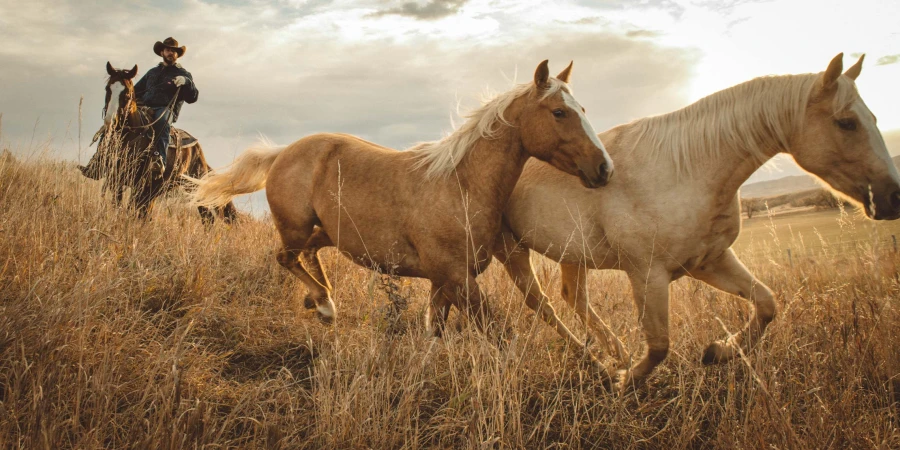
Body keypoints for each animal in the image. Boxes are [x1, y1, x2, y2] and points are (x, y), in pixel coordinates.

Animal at [79, 62, 237, 223]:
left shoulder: (138, 185)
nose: (110, 122)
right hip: (158, 188)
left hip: (191, 186)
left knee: (207, 217)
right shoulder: (115, 179)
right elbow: (117, 205)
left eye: (127, 94)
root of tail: (198, 150)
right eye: (108, 89)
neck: (129, 136)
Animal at [190, 60, 613, 341]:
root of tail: (282, 152)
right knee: (286, 257)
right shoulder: (456, 278)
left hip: (328, 232)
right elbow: (497, 333)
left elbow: (436, 332)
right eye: (558, 112)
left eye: (582, 110)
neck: (461, 185)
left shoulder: (446, 281)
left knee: (309, 253)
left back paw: (321, 302)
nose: (604, 168)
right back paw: (324, 305)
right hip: (295, 227)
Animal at [496, 53, 900, 389]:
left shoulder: (709, 261)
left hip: (572, 255)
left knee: (574, 298)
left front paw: (719, 352)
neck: (686, 170)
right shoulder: (648, 274)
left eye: (873, 118)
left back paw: (615, 353)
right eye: (846, 123)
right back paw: (601, 361)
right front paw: (627, 383)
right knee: (541, 302)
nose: (892, 197)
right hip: (512, 251)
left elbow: (767, 304)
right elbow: (660, 344)